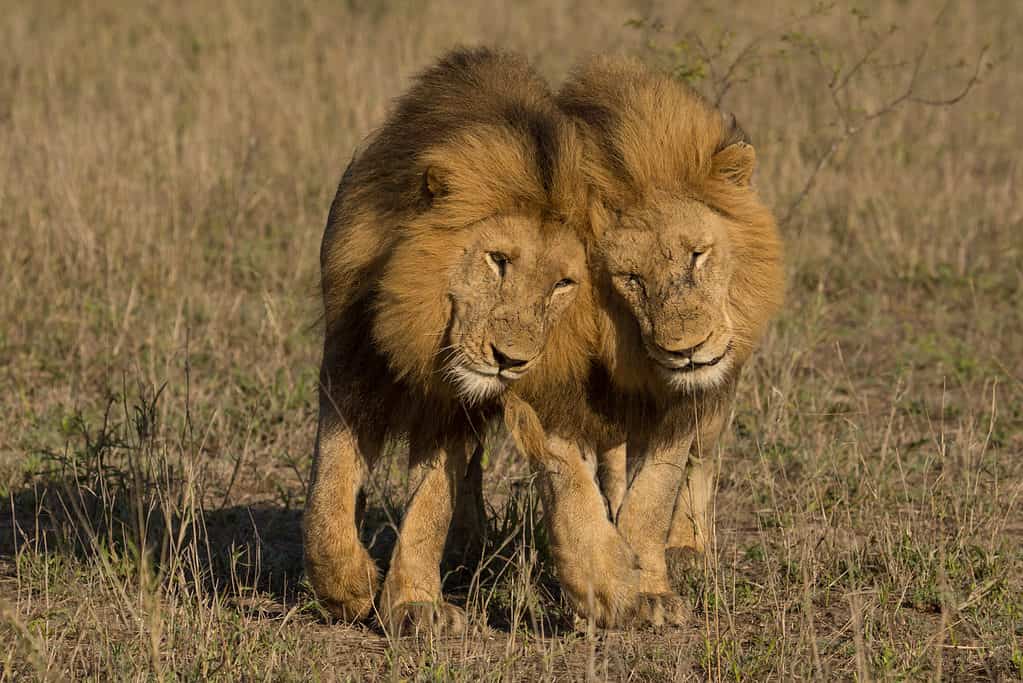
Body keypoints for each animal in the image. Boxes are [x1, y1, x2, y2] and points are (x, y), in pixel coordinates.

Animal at [300, 48, 593, 633]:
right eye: (498, 260)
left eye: (562, 285)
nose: (511, 361)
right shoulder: (352, 364)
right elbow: (330, 484)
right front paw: (349, 586)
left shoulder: (455, 407)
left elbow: (432, 501)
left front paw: (415, 604)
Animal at [503, 55, 781, 625]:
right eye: (630, 278)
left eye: (698, 254)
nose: (686, 350)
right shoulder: (550, 388)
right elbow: (569, 480)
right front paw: (598, 577)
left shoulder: (683, 403)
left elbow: (656, 492)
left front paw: (652, 591)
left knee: (701, 462)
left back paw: (689, 550)